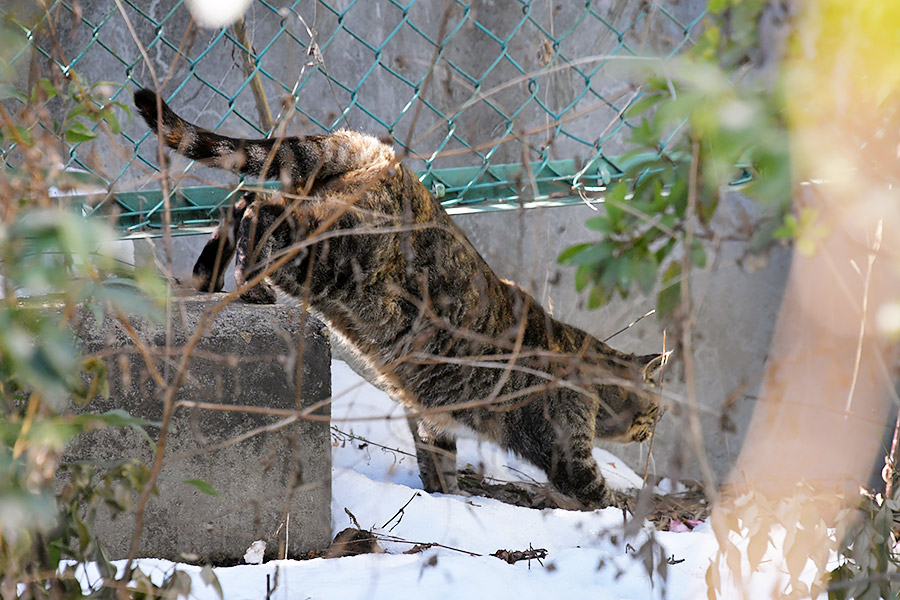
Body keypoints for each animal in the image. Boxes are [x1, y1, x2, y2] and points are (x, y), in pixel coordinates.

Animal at [135, 89, 668, 508]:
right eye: (655, 410)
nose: (655, 428)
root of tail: (373, 149)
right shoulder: (566, 450)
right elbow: (598, 492)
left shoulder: (432, 419)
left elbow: (439, 464)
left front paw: (446, 500)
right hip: (327, 250)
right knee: (259, 210)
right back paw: (250, 279)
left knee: (241, 200)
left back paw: (208, 276)